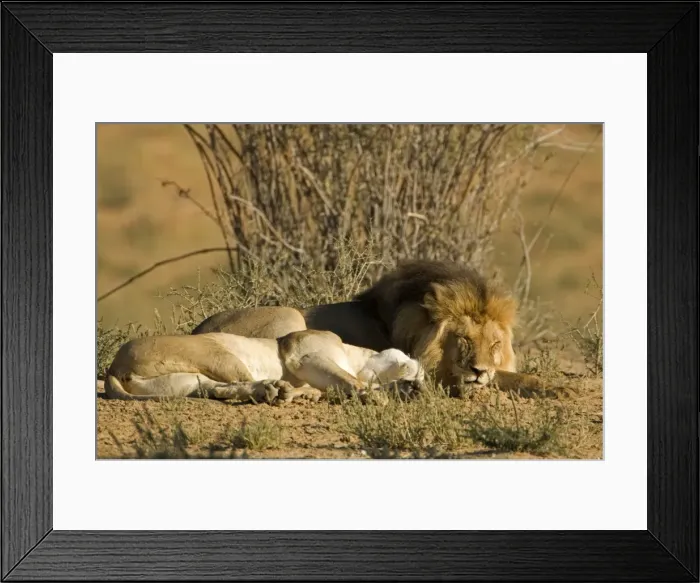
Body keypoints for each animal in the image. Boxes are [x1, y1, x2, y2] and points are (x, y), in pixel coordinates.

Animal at [192, 260, 546, 396]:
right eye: (462, 339)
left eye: (495, 344)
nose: (479, 369)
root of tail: (198, 329)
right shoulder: (434, 370)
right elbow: (505, 377)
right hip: (290, 316)